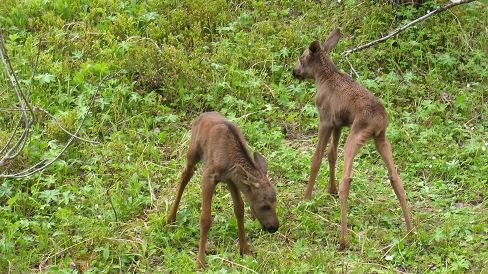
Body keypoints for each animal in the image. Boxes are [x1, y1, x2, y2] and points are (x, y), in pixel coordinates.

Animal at [167, 111, 278, 268]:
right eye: (264, 206)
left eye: (275, 202)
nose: (274, 227)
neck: (230, 161)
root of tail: (202, 115)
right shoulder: (208, 176)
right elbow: (205, 219)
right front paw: (200, 261)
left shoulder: (232, 180)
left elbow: (239, 209)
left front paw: (245, 250)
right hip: (193, 151)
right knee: (185, 175)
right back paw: (170, 217)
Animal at [292, 28, 414, 249]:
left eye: (301, 57)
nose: (294, 71)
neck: (322, 77)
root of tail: (378, 121)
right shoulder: (338, 123)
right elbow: (331, 154)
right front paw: (329, 190)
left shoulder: (325, 120)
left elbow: (317, 158)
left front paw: (306, 198)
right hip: (382, 139)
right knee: (395, 176)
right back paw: (410, 231)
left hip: (356, 136)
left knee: (347, 178)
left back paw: (343, 239)